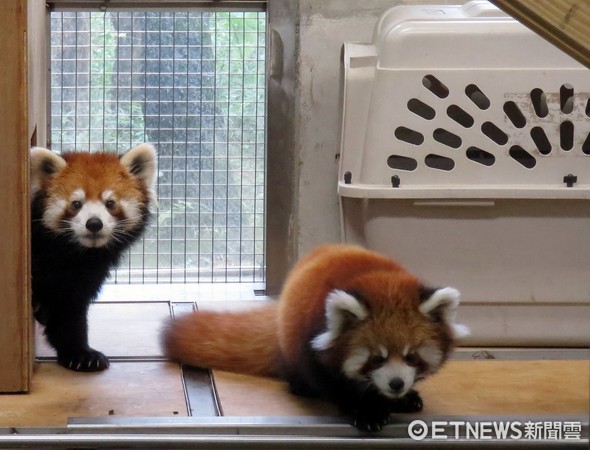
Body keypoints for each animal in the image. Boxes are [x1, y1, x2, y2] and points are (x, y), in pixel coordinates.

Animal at [30, 145, 157, 372]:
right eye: (76, 203)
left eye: (110, 203)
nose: (94, 223)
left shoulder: (84, 277)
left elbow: (69, 312)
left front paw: (80, 354)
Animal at [163, 244, 472, 430]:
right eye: (376, 359)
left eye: (411, 357)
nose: (396, 384)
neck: (379, 281)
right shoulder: (312, 344)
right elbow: (336, 385)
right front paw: (367, 412)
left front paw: (402, 398)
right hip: (292, 343)